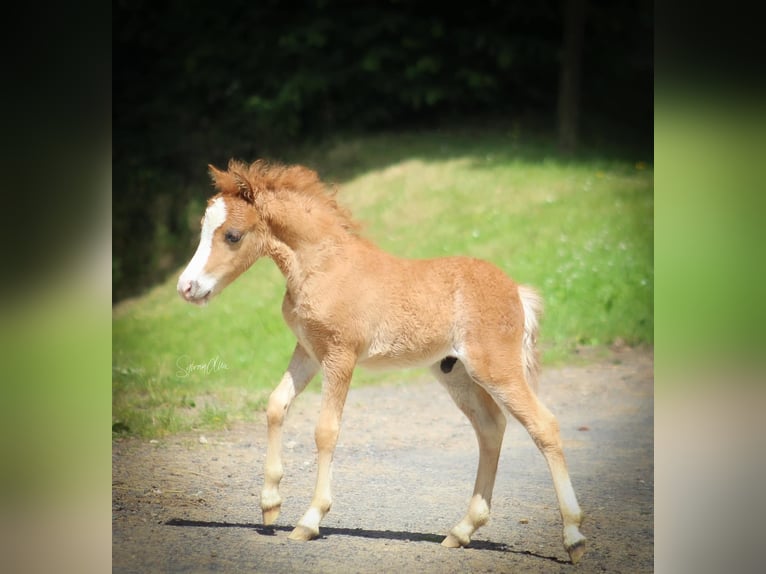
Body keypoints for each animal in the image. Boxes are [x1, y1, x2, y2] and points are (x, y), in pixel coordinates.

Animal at [178, 160, 588, 564]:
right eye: (202, 229)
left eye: (232, 235)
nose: (186, 287)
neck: (323, 265)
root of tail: (516, 290)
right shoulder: (308, 350)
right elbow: (276, 405)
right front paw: (270, 505)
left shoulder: (340, 355)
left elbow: (326, 430)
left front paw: (309, 520)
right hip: (457, 374)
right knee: (490, 428)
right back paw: (461, 531)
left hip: (495, 368)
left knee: (544, 425)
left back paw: (573, 538)